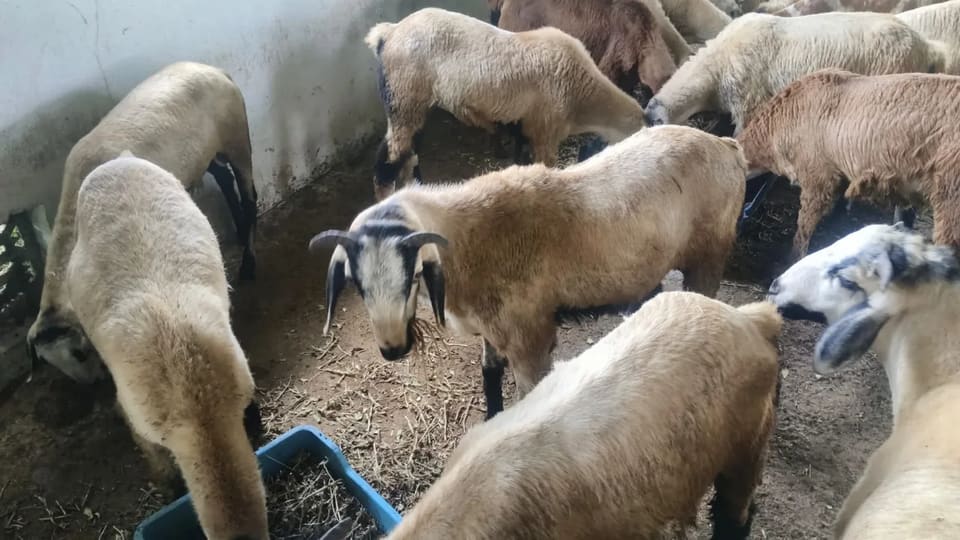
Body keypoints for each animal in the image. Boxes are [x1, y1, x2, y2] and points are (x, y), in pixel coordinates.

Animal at [25, 61, 259, 384]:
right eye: (53, 364)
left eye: (80, 352)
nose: (93, 383)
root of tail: (213, 69)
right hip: (209, 151)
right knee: (224, 179)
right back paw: (238, 230)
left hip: (236, 138)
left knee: (249, 196)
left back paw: (249, 263)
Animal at [308, 125, 747, 417]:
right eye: (357, 284)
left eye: (414, 274)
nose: (393, 350)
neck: (470, 241)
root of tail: (727, 146)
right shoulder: (492, 327)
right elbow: (489, 373)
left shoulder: (530, 337)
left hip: (710, 255)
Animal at [365, 7, 647, 201]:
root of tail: (388, 33)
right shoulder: (545, 131)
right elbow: (545, 169)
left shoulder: (524, 126)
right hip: (403, 99)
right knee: (389, 158)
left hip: (414, 106)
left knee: (408, 155)